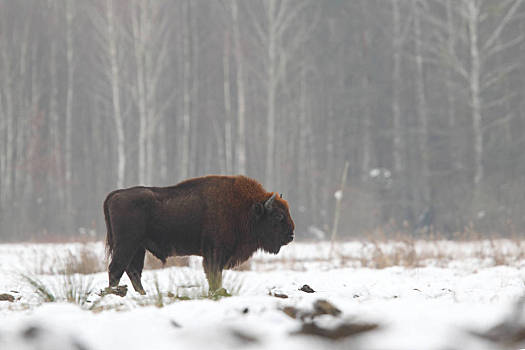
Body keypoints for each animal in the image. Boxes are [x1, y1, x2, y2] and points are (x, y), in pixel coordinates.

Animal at [104, 174, 292, 294]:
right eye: (278, 216)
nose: (290, 235)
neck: (246, 209)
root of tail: (115, 194)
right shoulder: (215, 254)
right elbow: (214, 274)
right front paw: (217, 292)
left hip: (138, 247)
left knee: (133, 271)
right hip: (127, 245)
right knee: (116, 269)